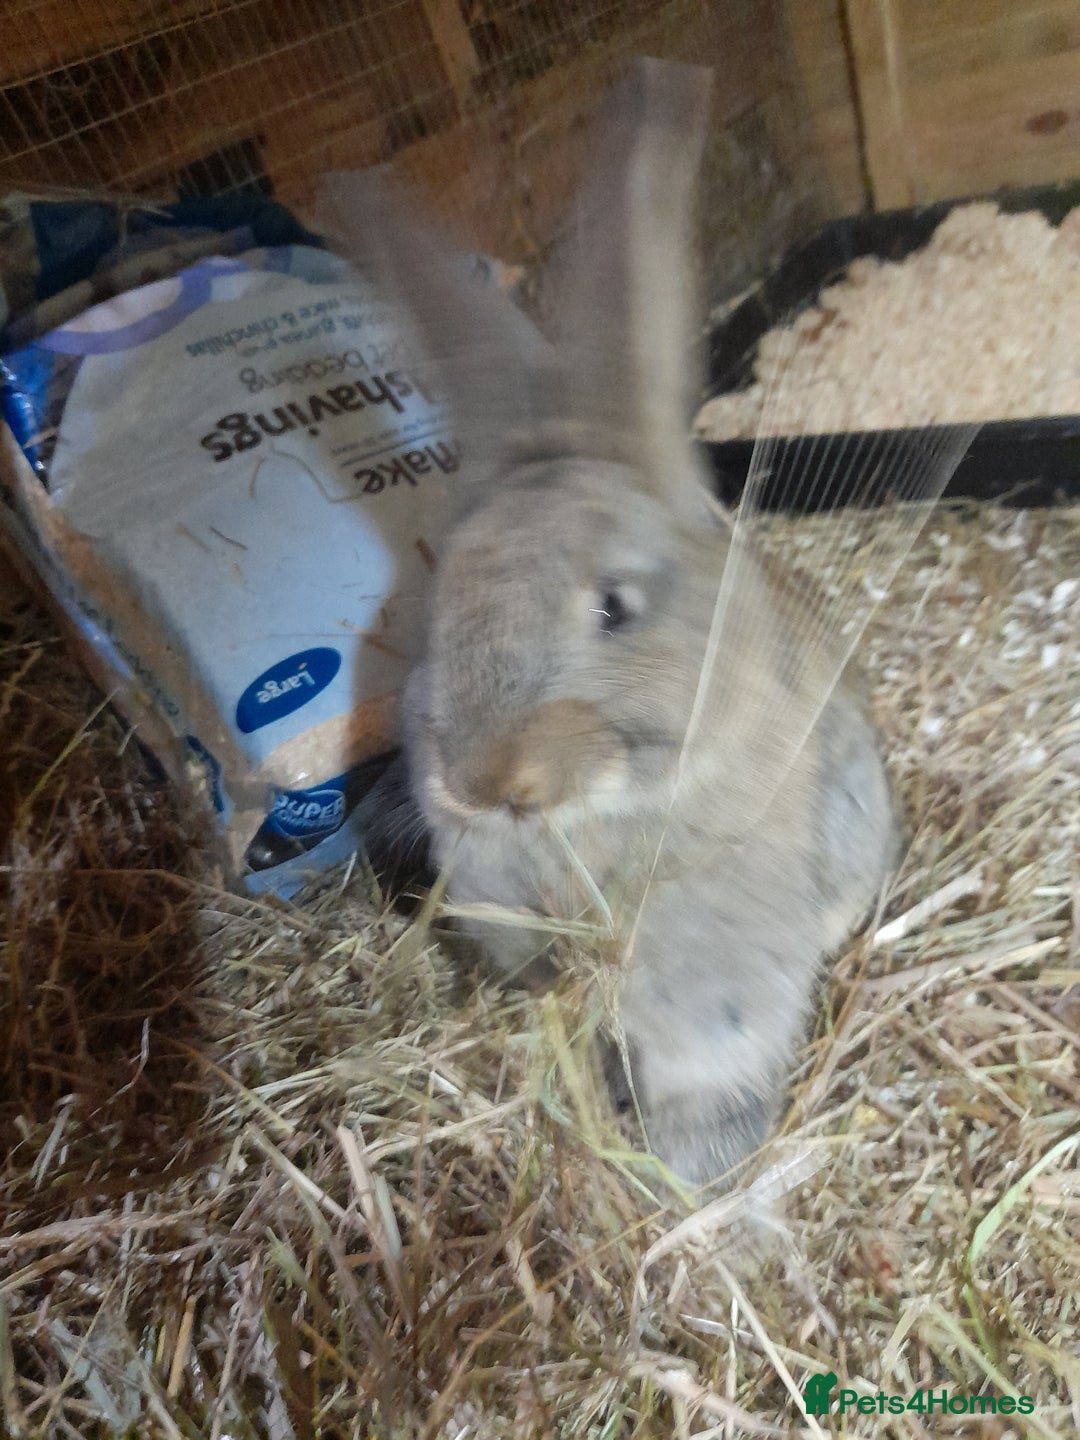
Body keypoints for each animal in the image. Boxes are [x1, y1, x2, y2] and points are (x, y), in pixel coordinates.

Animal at [317, 58, 901, 1188]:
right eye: (440, 601)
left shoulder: (712, 966)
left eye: (614, 607)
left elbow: (705, 1057)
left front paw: (693, 1171)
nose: (487, 784)